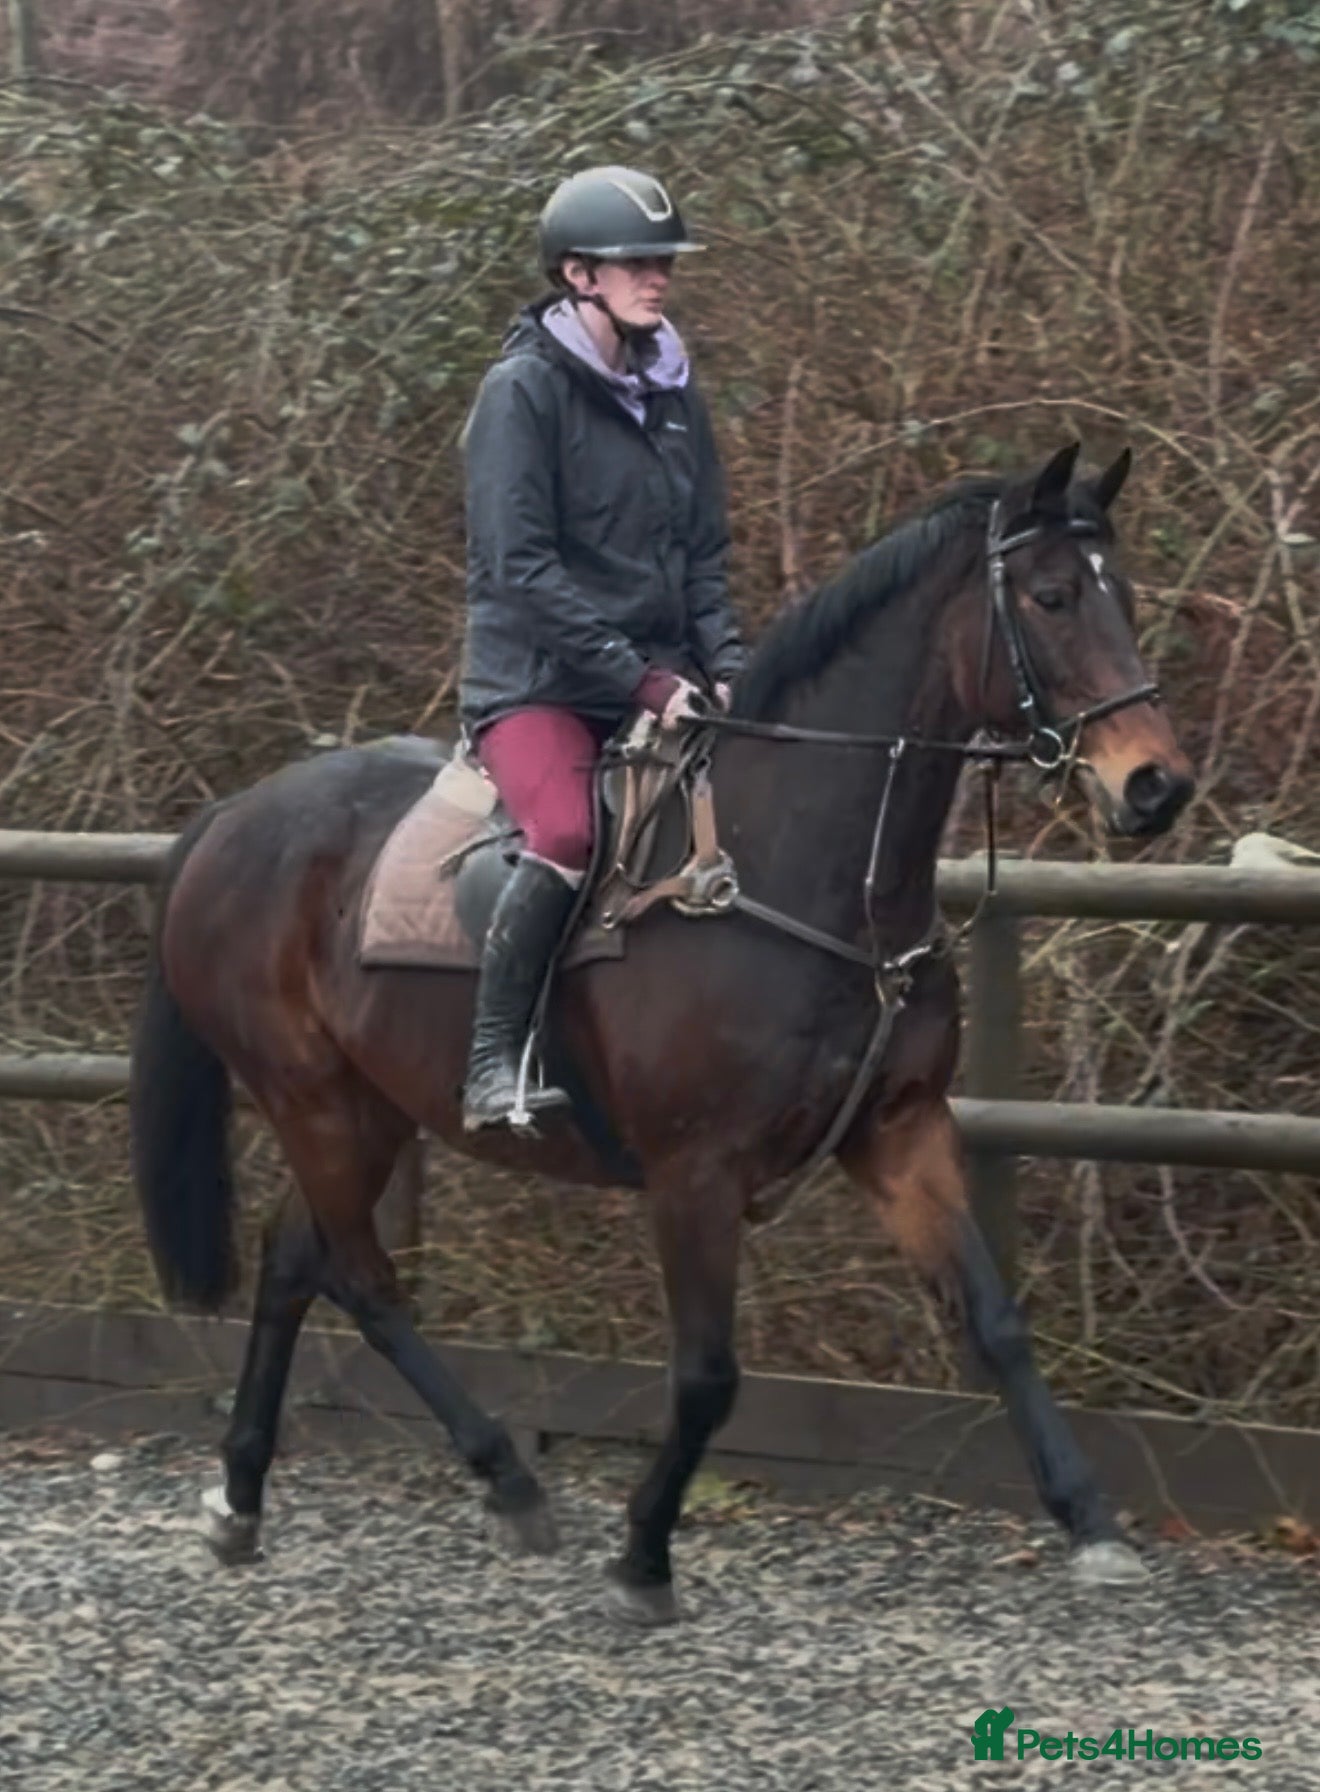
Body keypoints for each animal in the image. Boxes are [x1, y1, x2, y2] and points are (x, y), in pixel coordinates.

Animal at [128, 442, 1194, 1624]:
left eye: (1121, 593)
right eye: (1050, 597)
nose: (1156, 784)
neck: (803, 872)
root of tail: (234, 817)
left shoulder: (900, 1132)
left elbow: (995, 1320)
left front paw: (1091, 1522)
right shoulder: (696, 1170)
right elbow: (707, 1374)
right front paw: (643, 1554)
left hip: (368, 1107)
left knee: (294, 1257)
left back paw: (244, 1495)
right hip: (312, 1096)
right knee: (360, 1277)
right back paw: (504, 1477)